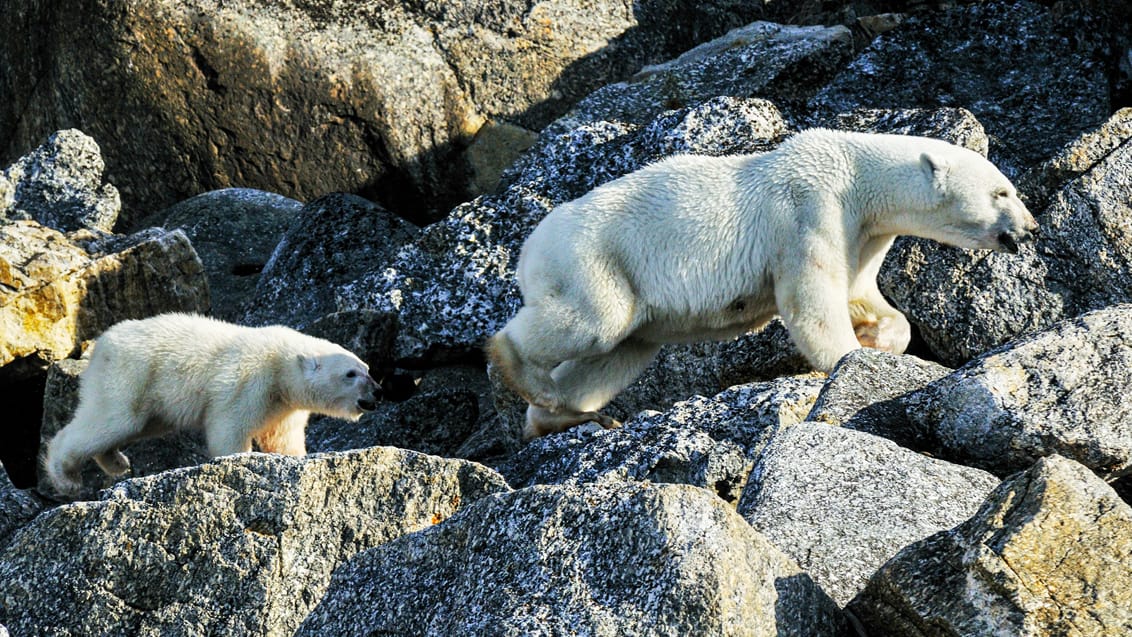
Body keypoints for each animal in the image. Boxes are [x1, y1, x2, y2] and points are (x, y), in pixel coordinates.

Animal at [45, 314, 380, 497]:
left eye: (368, 368)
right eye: (350, 374)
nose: (376, 395)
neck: (281, 364)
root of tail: (101, 343)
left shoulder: (284, 404)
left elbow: (283, 437)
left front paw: (295, 457)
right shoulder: (249, 382)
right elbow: (229, 427)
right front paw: (239, 460)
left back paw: (116, 462)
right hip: (130, 375)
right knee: (112, 419)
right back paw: (66, 478)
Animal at [486, 128, 1036, 438]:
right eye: (1002, 191)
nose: (1029, 228)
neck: (857, 174)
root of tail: (528, 248)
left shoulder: (865, 231)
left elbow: (861, 293)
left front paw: (877, 336)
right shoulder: (811, 210)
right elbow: (813, 299)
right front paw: (847, 361)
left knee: (619, 351)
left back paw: (566, 414)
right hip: (594, 258)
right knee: (594, 322)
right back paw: (524, 374)